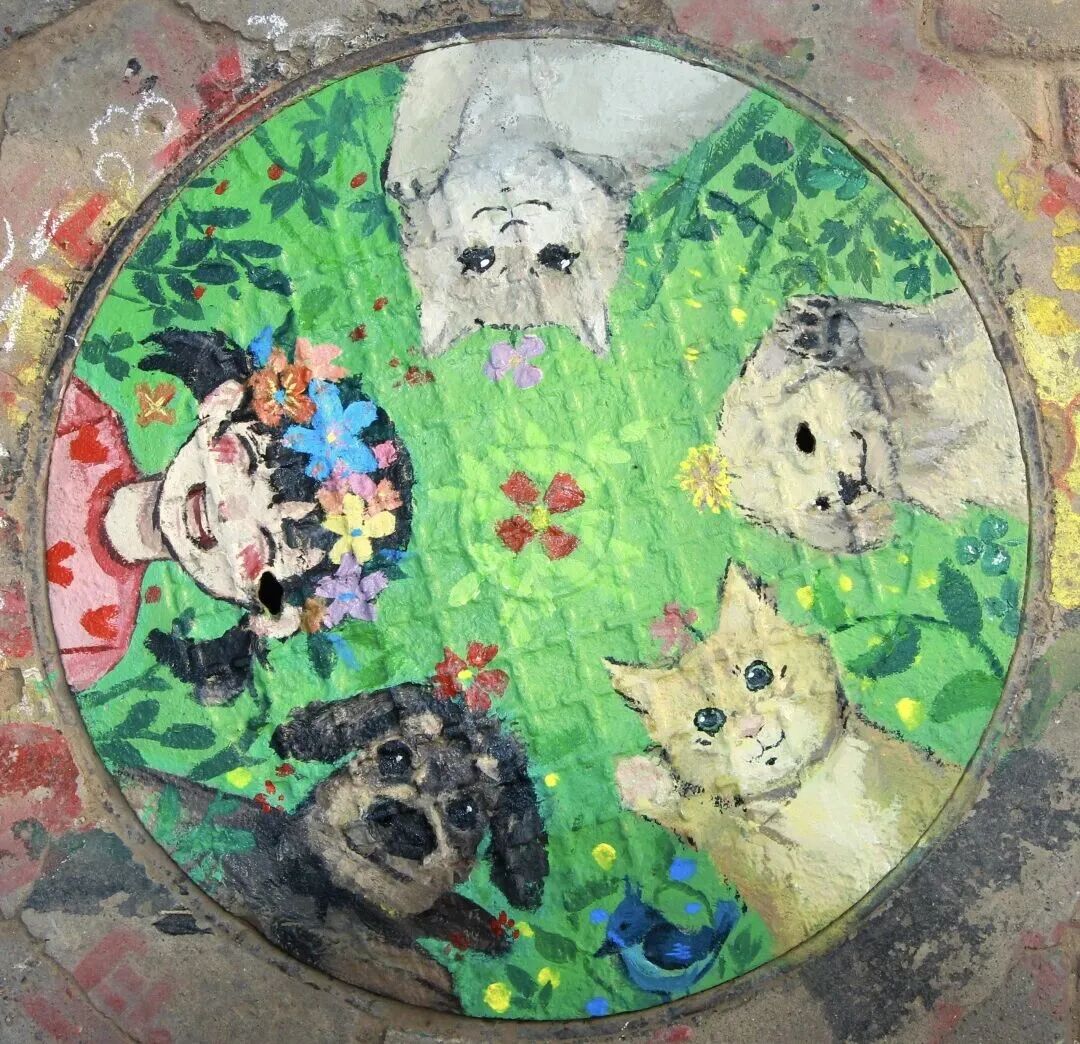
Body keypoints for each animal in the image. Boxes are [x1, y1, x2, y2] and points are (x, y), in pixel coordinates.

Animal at [384, 39, 749, 355]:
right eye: (478, 260)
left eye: (556, 258)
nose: (514, 228)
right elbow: (436, 80)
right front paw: (410, 171)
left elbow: (440, 71)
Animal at [607, 563, 962, 954]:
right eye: (707, 719)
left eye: (757, 674)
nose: (752, 727)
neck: (810, 796)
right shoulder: (742, 852)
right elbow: (701, 820)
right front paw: (643, 779)